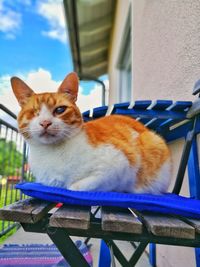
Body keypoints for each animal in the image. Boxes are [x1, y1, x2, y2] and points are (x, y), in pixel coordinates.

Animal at [10, 72, 171, 194]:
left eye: (60, 110)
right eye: (33, 112)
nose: (45, 123)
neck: (51, 153)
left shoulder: (120, 164)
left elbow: (79, 186)